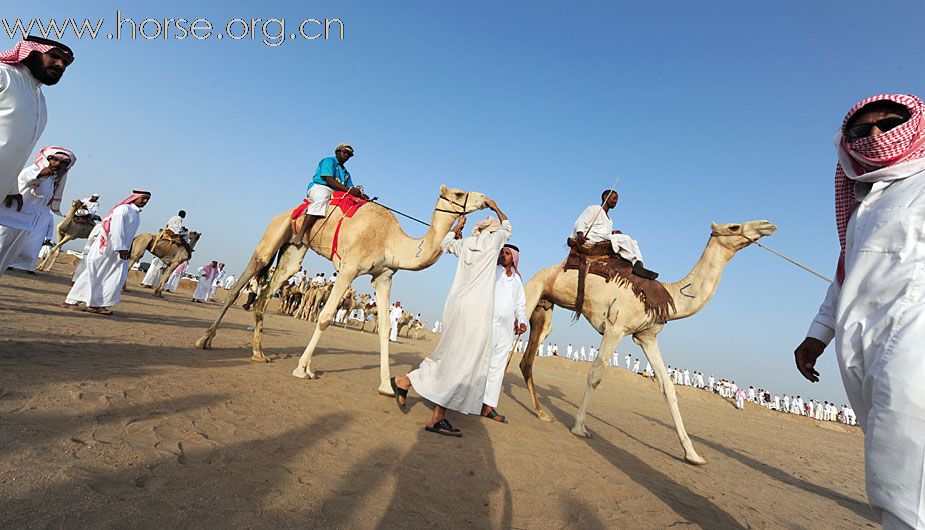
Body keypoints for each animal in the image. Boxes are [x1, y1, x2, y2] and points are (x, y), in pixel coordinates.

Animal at [193, 184, 484, 394]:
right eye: (459, 193)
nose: (484, 199)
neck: (391, 240)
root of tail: (288, 211)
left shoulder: (384, 277)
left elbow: (384, 329)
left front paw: (385, 386)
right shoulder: (349, 267)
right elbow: (325, 317)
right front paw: (301, 368)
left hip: (294, 251)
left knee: (265, 294)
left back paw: (259, 353)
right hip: (273, 236)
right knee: (241, 283)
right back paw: (204, 340)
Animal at [516, 219, 776, 462]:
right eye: (734, 227)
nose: (768, 225)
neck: (670, 296)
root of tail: (543, 272)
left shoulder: (647, 338)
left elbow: (668, 387)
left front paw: (692, 454)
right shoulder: (615, 328)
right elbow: (595, 375)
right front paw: (580, 427)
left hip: (545, 307)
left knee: (527, 357)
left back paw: (541, 413)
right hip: (532, 292)